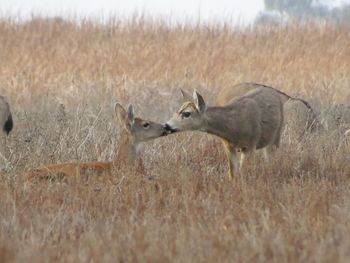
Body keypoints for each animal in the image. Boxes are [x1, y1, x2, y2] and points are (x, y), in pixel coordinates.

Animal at [165, 83, 314, 180]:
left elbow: (243, 172)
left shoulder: (250, 145)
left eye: (187, 113)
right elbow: (232, 172)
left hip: (276, 135)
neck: (233, 128)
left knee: (271, 160)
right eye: (177, 110)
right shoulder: (228, 146)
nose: (167, 125)